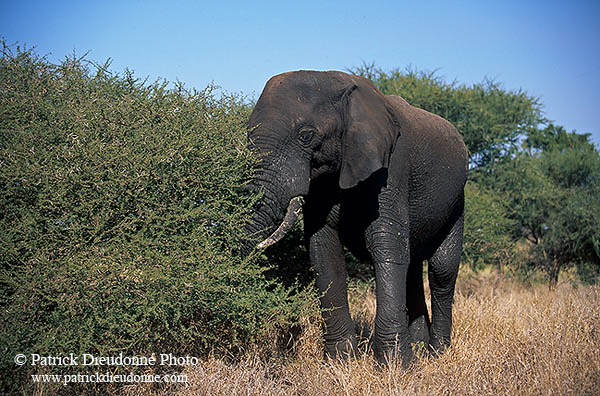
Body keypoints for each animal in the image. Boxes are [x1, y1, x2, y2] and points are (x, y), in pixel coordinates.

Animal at [244, 69, 468, 366]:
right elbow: (323, 251)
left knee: (442, 270)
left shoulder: (392, 166)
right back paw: (419, 348)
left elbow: (385, 245)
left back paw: (437, 353)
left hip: (457, 201)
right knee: (412, 267)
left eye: (306, 136)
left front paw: (395, 367)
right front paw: (339, 361)